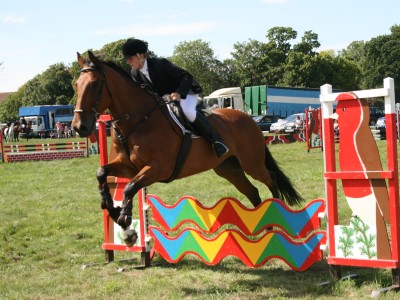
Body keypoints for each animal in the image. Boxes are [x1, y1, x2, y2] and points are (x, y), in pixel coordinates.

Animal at [72, 51, 304, 247]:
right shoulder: (128, 167)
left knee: (271, 180)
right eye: (76, 84)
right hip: (229, 169)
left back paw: (274, 215)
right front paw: (111, 209)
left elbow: (129, 188)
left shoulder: (158, 169)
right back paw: (264, 226)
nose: (78, 127)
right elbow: (102, 172)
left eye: (94, 84)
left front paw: (126, 224)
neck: (138, 121)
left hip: (251, 163)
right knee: (253, 191)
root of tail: (249, 119)